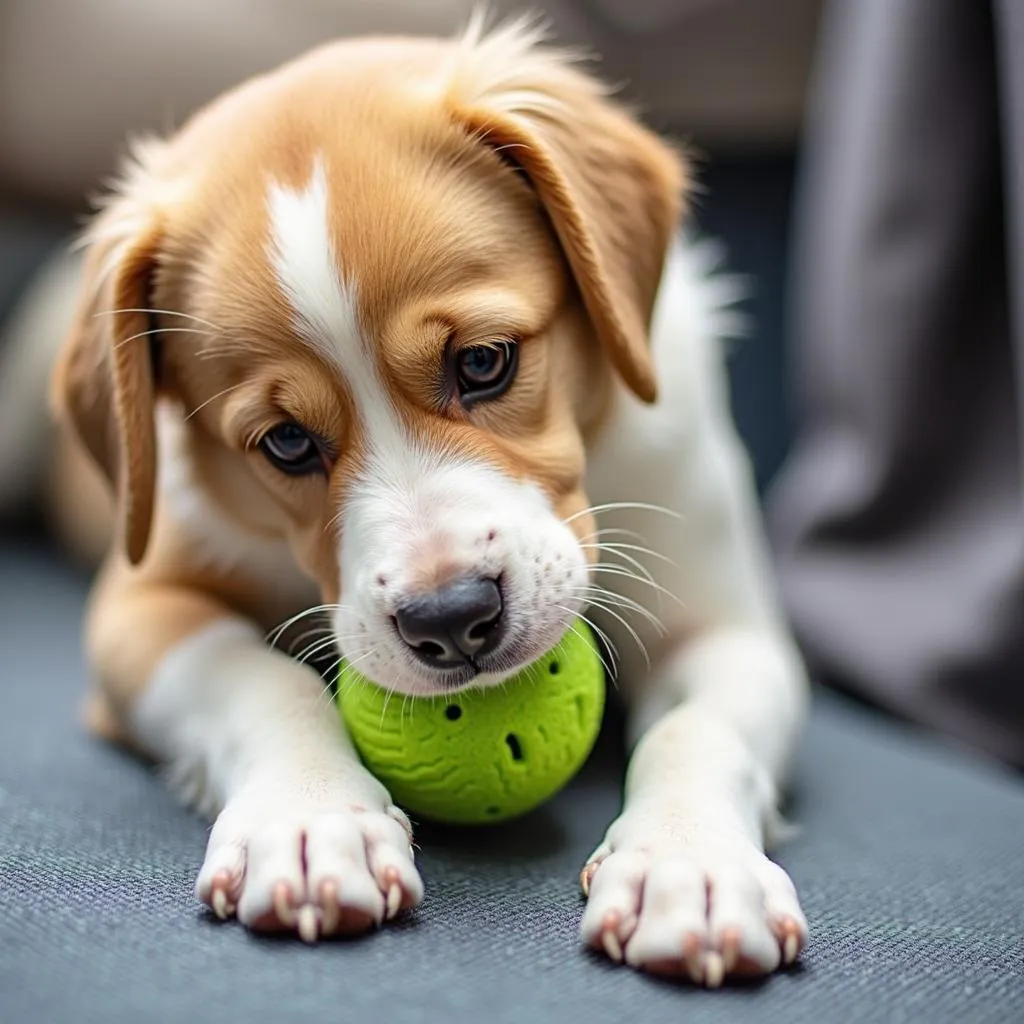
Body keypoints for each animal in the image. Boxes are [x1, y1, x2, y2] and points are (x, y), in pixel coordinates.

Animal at [39, 14, 806, 983]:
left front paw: (690, 866)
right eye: (285, 442)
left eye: (483, 361)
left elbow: (698, 730)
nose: (453, 621)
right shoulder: (142, 604)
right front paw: (308, 821)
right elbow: (262, 679)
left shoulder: (724, 629)